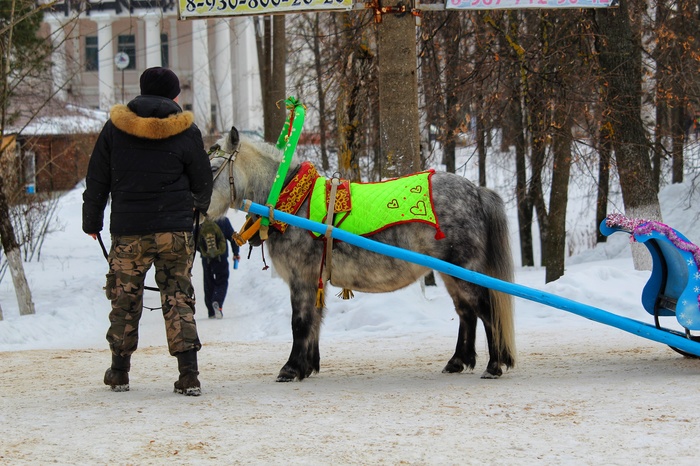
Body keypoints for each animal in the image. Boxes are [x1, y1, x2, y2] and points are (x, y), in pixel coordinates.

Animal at [206, 127, 516, 382]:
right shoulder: (315, 279)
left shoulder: (302, 278)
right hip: (450, 272)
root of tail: (476, 191)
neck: (292, 202)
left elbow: (301, 322)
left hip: (464, 269)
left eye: (213, 168)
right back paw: (458, 361)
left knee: (486, 309)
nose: (199, 207)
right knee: (466, 313)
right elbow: (315, 321)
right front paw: (308, 366)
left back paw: (494, 365)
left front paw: (291, 369)